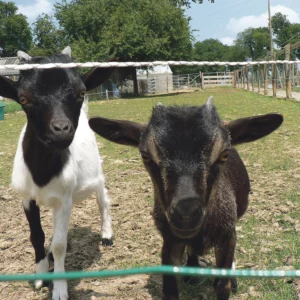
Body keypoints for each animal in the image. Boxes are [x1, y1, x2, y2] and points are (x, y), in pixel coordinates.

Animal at [0, 47, 114, 300]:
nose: (61, 130)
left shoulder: (65, 199)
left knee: (103, 200)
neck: (42, 172)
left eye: (81, 92)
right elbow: (36, 236)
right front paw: (40, 276)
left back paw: (107, 235)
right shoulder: (27, 197)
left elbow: (61, 244)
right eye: (23, 98)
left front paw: (60, 288)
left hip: (97, 175)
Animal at [88, 96, 282, 300]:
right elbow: (170, 290)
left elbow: (222, 284)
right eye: (145, 156)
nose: (186, 213)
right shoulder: (170, 240)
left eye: (224, 154)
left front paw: (230, 280)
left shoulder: (227, 235)